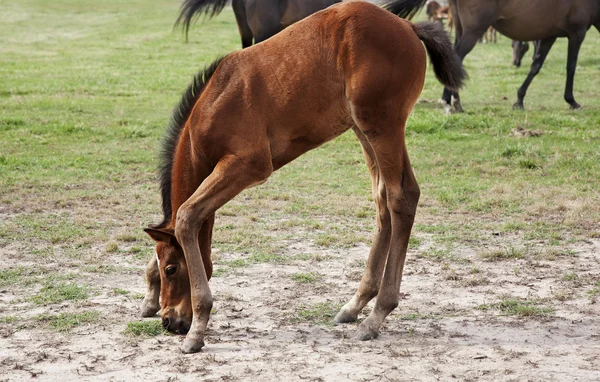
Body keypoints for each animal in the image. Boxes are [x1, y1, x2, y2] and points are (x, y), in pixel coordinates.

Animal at [384, 0, 600, 111]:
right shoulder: (577, 32)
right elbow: (571, 66)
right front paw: (572, 101)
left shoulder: (549, 35)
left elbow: (536, 65)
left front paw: (519, 100)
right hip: (474, 30)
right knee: (457, 57)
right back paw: (454, 101)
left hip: (462, 28)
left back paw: (450, 100)